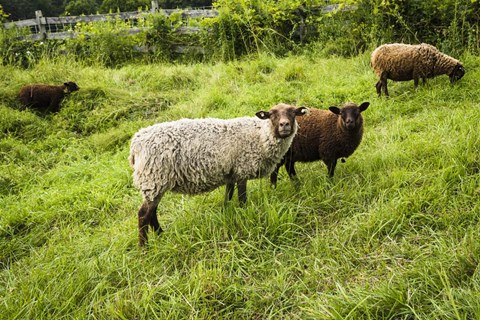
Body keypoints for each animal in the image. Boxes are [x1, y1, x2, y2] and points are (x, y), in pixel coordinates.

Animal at [128, 104, 308, 246]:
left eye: (293, 112)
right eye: (272, 114)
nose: (285, 125)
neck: (260, 136)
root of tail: (135, 144)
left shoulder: (231, 174)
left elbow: (228, 196)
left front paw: (226, 213)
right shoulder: (242, 170)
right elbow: (242, 199)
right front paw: (244, 215)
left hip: (155, 183)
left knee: (152, 213)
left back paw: (161, 235)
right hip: (154, 179)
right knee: (143, 215)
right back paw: (144, 247)